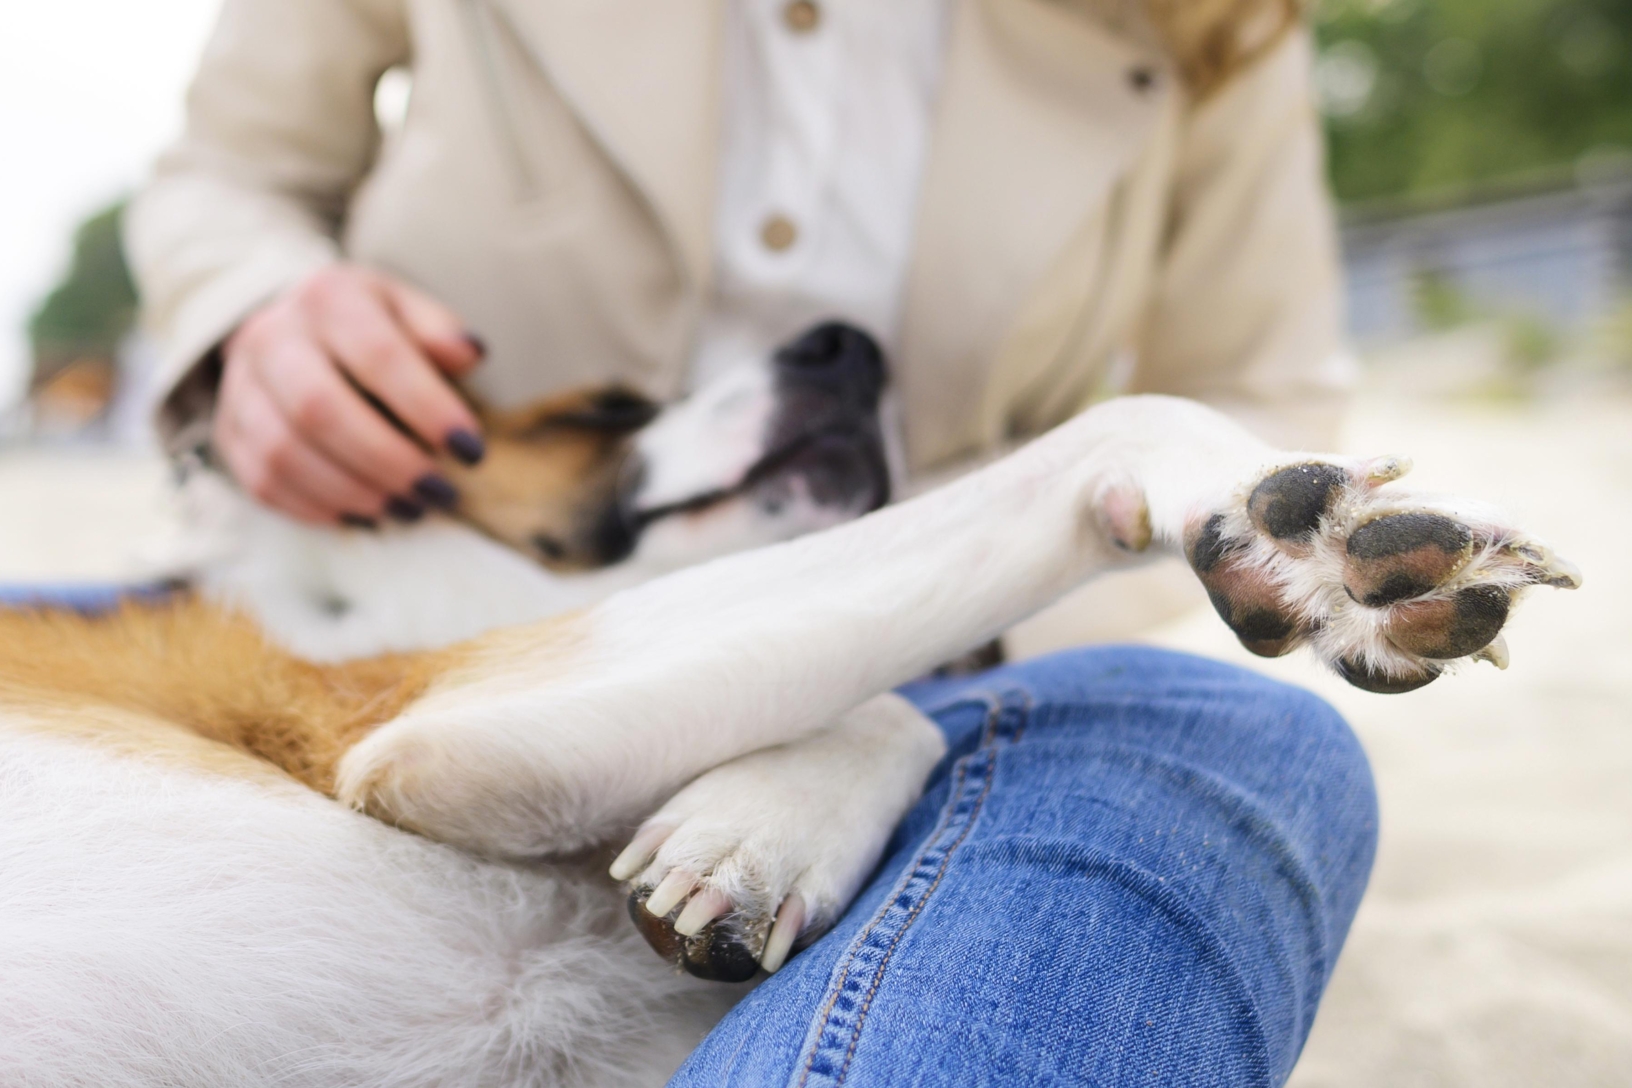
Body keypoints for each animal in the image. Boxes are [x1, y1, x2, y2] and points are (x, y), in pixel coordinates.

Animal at [0, 321, 1579, 1083]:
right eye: (602, 412)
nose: (849, 344)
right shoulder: (445, 724)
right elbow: (1107, 448)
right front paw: (1295, 524)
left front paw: (750, 830)